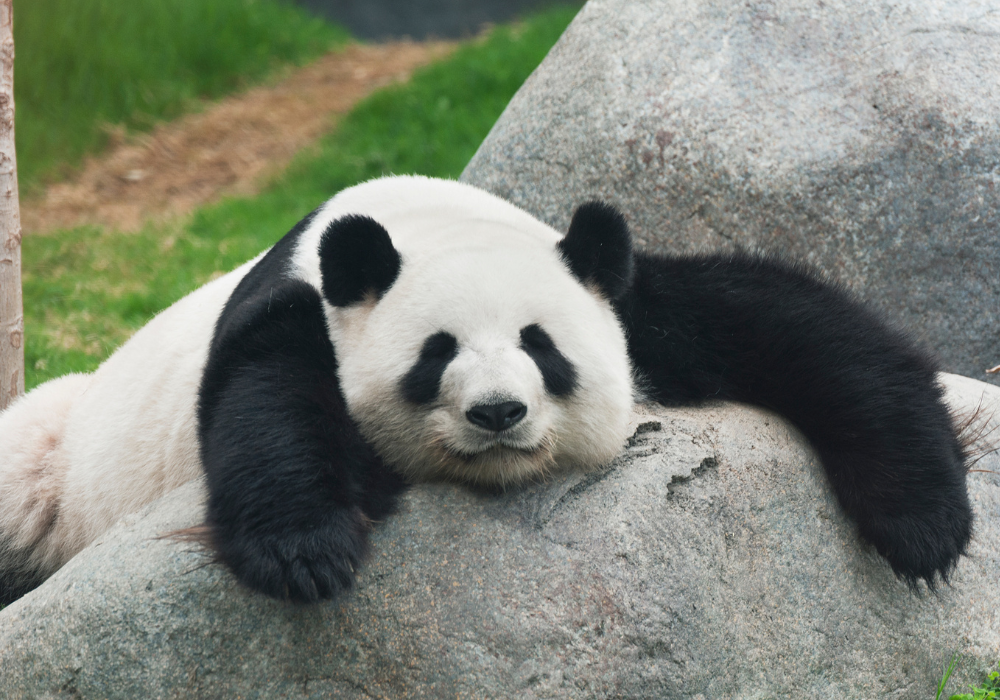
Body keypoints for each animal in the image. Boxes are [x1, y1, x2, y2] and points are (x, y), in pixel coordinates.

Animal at [0, 175, 972, 605]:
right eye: (436, 356)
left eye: (543, 349)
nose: (499, 413)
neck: (423, 223)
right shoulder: (299, 304)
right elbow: (263, 400)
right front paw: (308, 549)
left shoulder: (623, 294)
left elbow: (799, 327)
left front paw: (925, 527)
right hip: (53, 465)